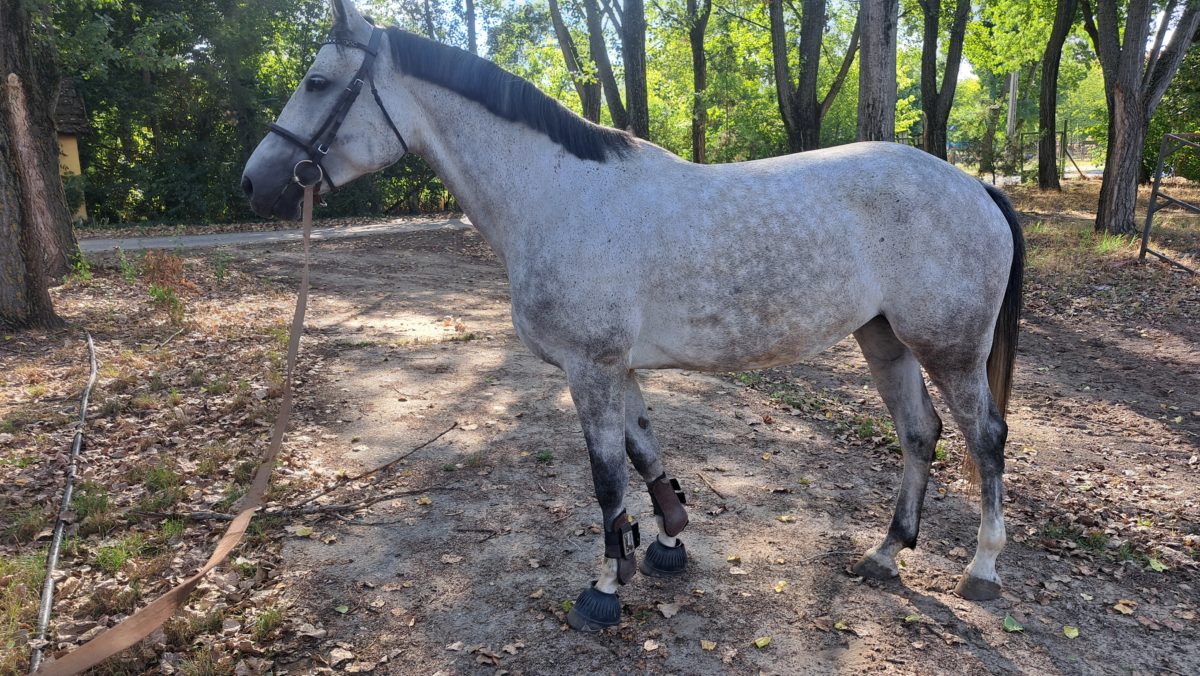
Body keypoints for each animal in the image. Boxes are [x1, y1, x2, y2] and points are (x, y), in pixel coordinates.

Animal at [241, 0, 1024, 632]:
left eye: (317, 82)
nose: (256, 183)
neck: (557, 194)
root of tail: (975, 186)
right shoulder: (620, 368)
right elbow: (646, 455)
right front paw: (667, 541)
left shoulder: (590, 367)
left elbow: (607, 477)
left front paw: (605, 588)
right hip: (884, 338)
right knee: (919, 435)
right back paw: (886, 553)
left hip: (948, 347)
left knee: (984, 438)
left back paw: (982, 569)